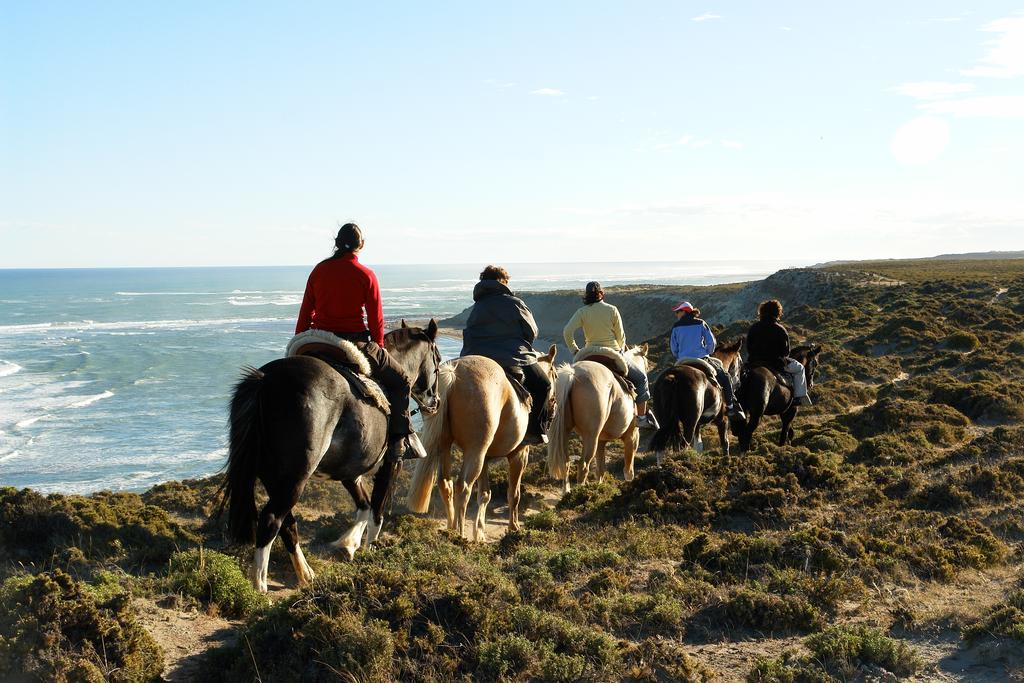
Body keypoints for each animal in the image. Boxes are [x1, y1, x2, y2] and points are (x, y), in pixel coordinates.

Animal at [218, 321, 442, 593]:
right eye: (438, 360)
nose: (435, 402)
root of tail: (266, 380)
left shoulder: (350, 472)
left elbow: (364, 506)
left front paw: (349, 544)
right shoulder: (390, 465)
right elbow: (376, 512)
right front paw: (368, 551)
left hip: (275, 478)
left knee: (287, 524)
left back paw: (305, 574)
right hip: (295, 478)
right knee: (271, 520)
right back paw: (259, 586)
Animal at [405, 350, 557, 540]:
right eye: (555, 374)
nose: (554, 407)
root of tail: (453, 374)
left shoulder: (485, 459)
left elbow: (485, 494)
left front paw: (480, 533)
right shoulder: (520, 454)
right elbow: (513, 494)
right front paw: (513, 527)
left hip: (446, 446)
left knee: (445, 484)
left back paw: (450, 530)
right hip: (475, 452)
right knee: (463, 487)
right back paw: (460, 535)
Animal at [548, 348, 651, 491]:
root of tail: (573, 374)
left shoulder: (601, 441)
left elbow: (600, 469)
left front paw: (599, 487)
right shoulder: (632, 436)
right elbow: (628, 467)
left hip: (565, 431)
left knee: (566, 462)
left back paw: (567, 492)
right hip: (591, 436)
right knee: (583, 465)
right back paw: (579, 491)